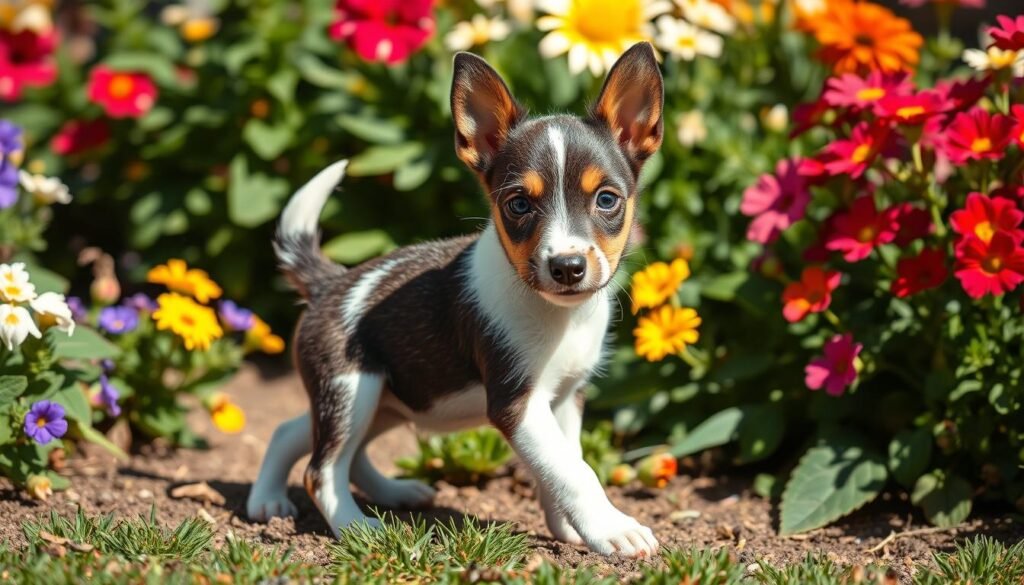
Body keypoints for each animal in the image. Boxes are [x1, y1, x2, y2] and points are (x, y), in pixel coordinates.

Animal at [246, 42, 663, 557]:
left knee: (306, 437)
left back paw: (300, 498)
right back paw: (361, 528)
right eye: (518, 205)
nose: (567, 267)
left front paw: (570, 530)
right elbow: (574, 472)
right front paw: (612, 530)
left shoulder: (565, 397)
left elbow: (562, 465)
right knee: (322, 469)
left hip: (387, 396)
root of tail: (330, 283)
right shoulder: (516, 404)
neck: (557, 316)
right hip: (351, 389)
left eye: (607, 200)